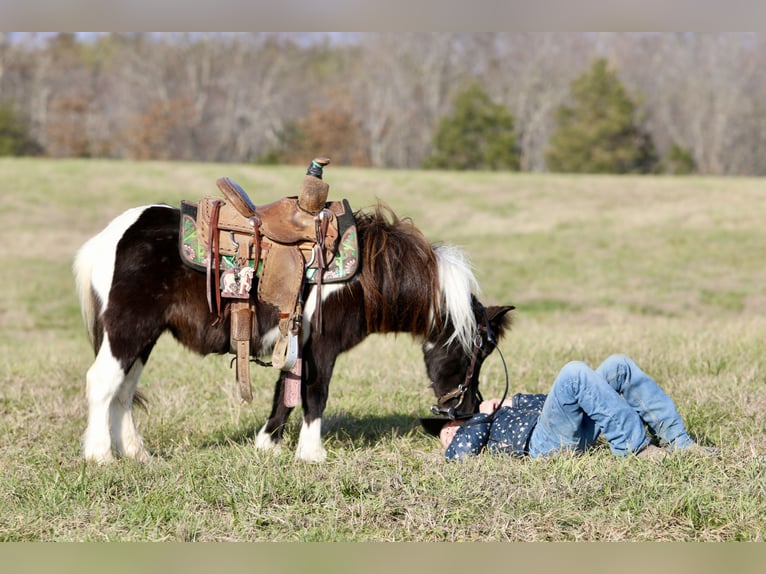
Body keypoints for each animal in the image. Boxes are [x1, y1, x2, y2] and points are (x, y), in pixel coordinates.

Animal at [73, 200, 514, 463]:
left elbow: (284, 394)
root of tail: (108, 238)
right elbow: (314, 395)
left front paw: (268, 444)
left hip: (143, 337)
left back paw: (136, 453)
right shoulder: (321, 348)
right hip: (127, 330)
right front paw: (312, 453)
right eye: (476, 351)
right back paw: (100, 455)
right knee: (103, 383)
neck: (364, 279)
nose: (468, 409)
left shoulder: (296, 344)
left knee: (124, 391)